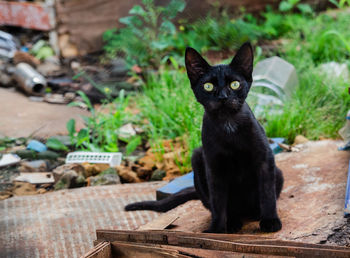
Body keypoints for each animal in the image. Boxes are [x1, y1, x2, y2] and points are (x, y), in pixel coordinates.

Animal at [124, 42, 284, 234]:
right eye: (208, 86)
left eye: (235, 84)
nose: (223, 97)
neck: (228, 124)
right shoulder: (214, 167)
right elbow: (218, 200)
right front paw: (217, 229)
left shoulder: (265, 159)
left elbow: (267, 193)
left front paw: (270, 221)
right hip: (197, 159)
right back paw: (233, 222)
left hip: (278, 173)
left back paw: (254, 214)